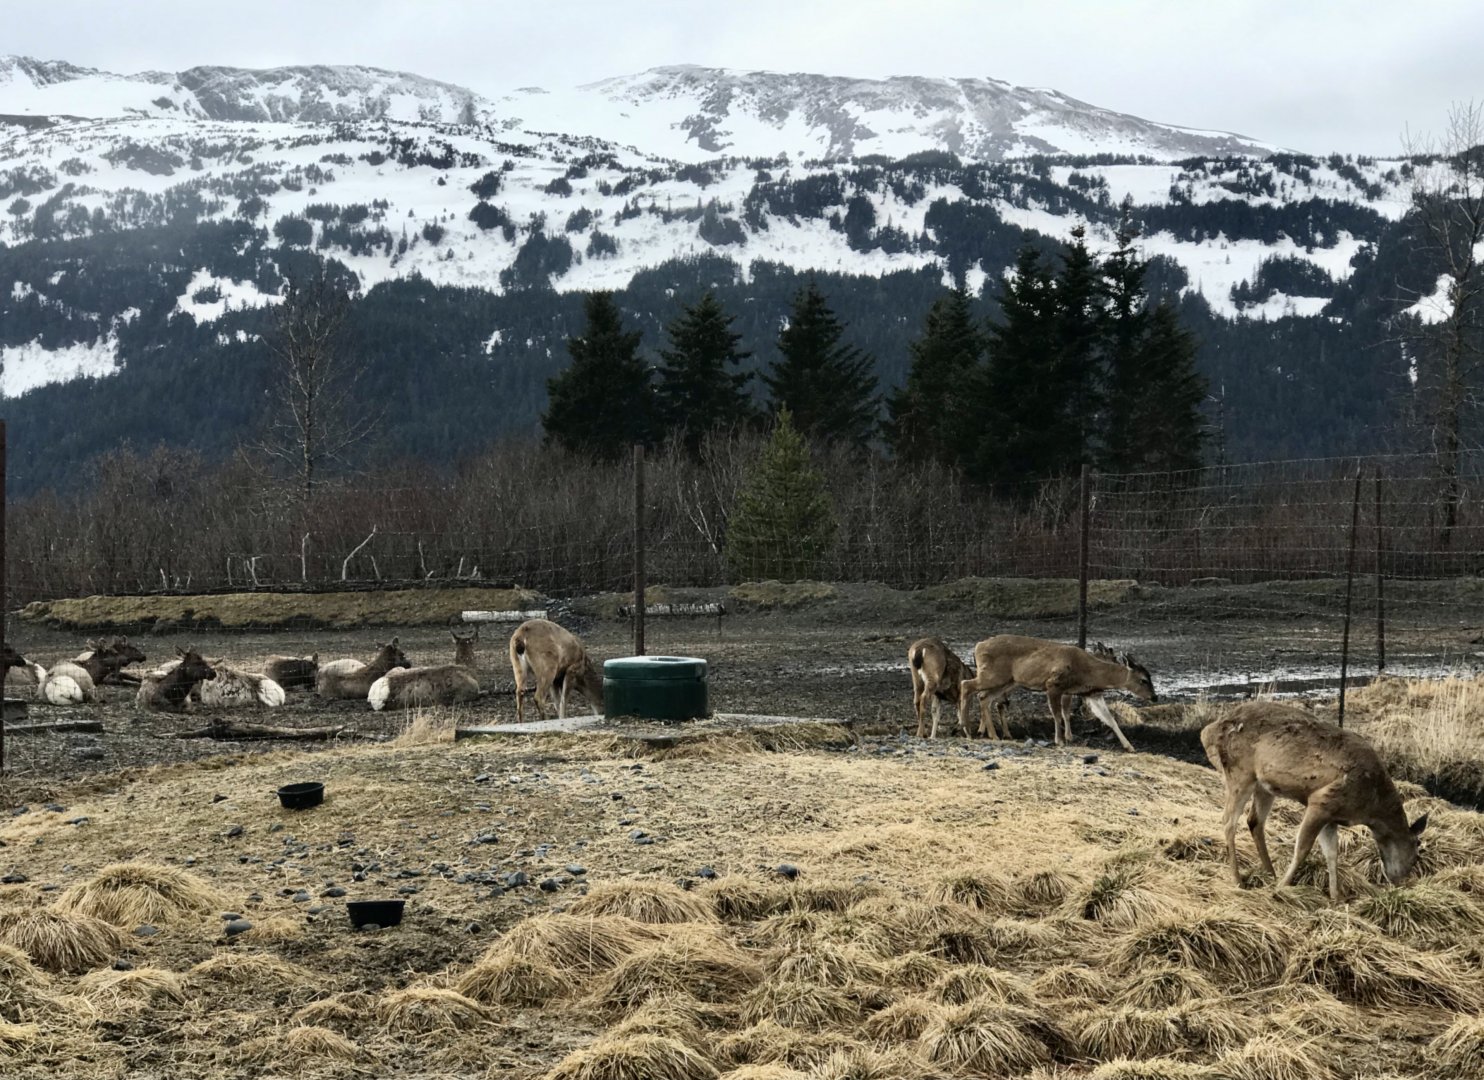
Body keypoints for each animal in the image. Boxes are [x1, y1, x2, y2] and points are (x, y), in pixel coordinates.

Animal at [957, 635, 1155, 751]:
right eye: (1143, 680)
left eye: (1150, 677)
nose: (1155, 696)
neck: (1087, 672)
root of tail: (978, 646)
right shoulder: (1053, 684)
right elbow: (1058, 714)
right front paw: (1060, 740)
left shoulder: (1091, 693)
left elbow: (1109, 719)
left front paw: (1129, 746)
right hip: (993, 674)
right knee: (966, 685)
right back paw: (967, 729)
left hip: (1007, 680)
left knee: (984, 697)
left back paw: (992, 735)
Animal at [1201, 701, 1428, 902]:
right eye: (1417, 851)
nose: (1401, 882)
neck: (1370, 807)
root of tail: (1207, 732)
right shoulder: (1321, 800)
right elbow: (1302, 848)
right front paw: (1283, 886)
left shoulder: (1332, 815)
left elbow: (1332, 854)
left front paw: (1336, 897)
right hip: (1239, 772)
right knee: (1228, 821)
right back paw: (1238, 880)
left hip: (1264, 786)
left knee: (1254, 821)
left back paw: (1269, 873)